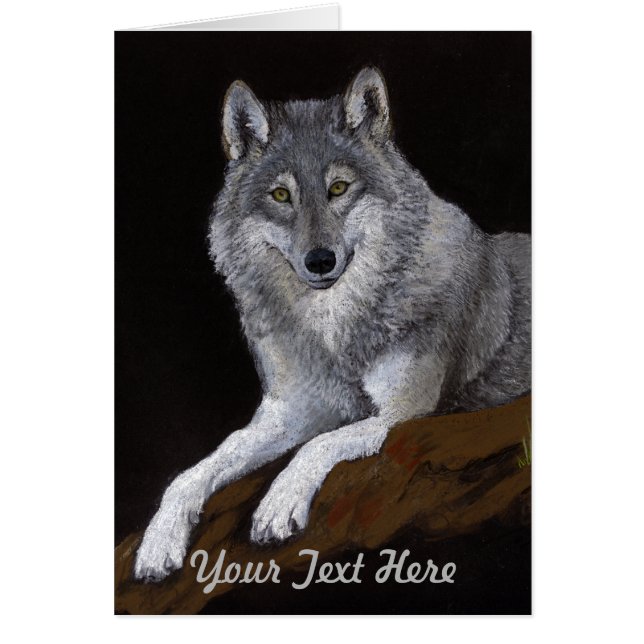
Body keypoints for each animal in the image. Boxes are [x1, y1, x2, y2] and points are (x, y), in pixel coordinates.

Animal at [134, 67, 531, 581]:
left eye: (339, 189)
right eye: (281, 195)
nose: (320, 261)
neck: (333, 329)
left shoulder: (405, 414)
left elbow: (319, 445)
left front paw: (278, 504)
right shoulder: (290, 412)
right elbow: (196, 470)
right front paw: (158, 541)